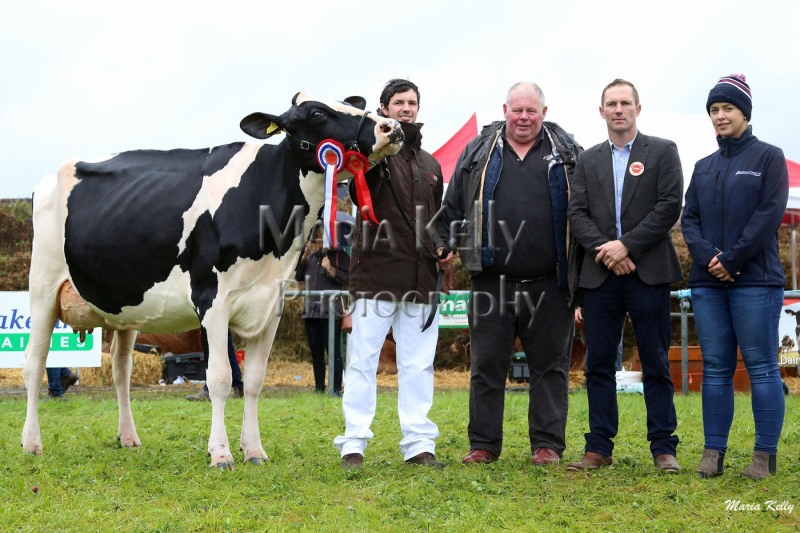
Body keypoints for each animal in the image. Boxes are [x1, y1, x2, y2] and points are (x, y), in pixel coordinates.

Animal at [21, 93, 404, 468]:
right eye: (316, 113)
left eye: (351, 104)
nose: (392, 127)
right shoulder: (211, 300)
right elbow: (219, 377)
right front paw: (220, 453)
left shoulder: (271, 305)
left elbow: (253, 381)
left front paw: (254, 450)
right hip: (43, 287)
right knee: (33, 363)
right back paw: (32, 443)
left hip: (126, 305)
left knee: (120, 370)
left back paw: (128, 437)